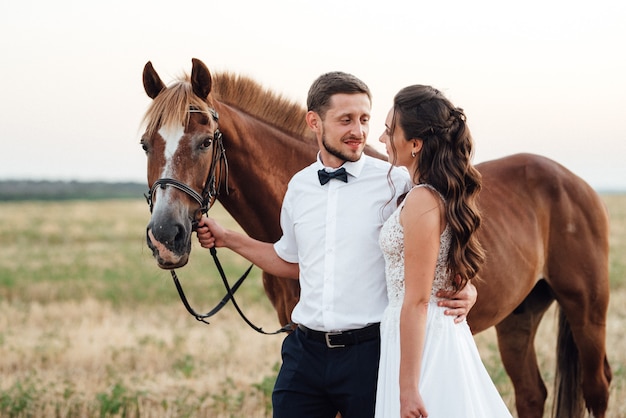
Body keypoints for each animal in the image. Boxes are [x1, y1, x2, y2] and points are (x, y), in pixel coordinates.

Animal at [140, 58, 608, 418]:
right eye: (146, 144)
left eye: (205, 142)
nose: (166, 236)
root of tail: (574, 182)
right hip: (520, 316)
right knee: (531, 393)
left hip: (587, 310)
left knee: (597, 388)